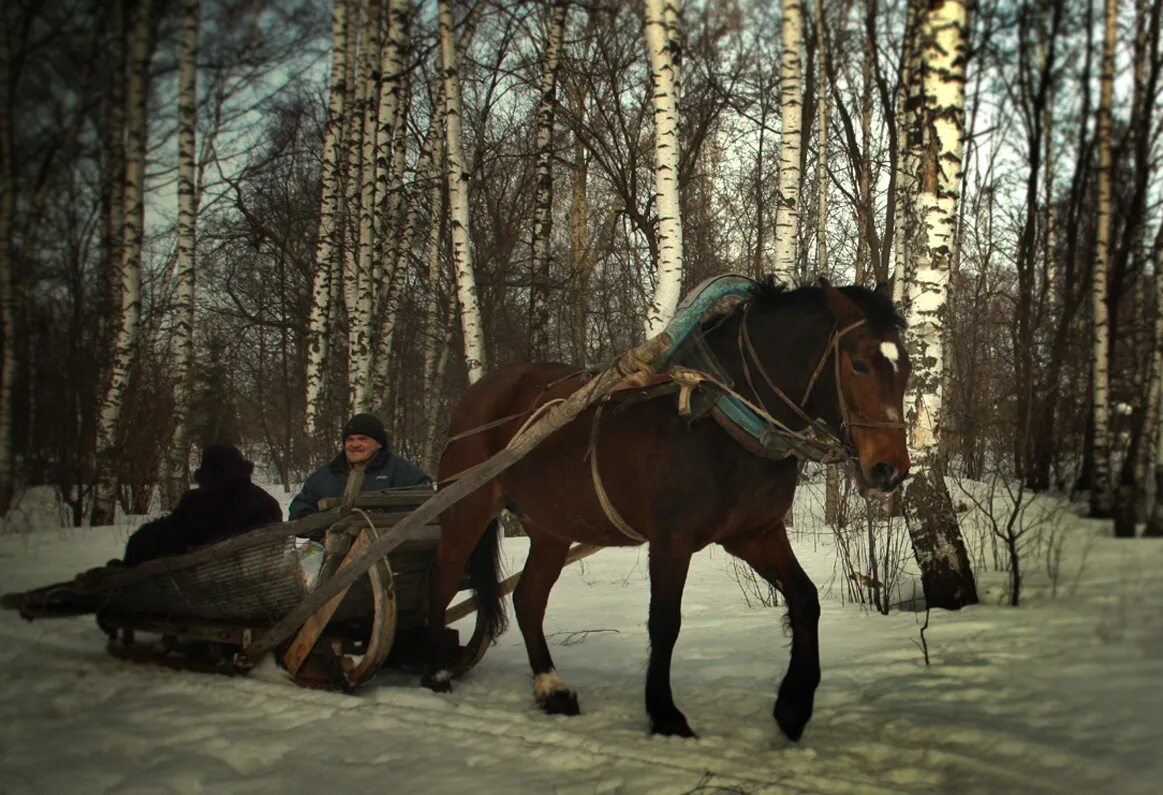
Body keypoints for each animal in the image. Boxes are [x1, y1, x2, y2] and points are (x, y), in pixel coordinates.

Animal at [423, 277, 911, 739]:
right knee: (443, 581)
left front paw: (793, 706)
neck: (723, 416)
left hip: (552, 528)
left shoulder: (755, 534)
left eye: (905, 366)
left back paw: (551, 688)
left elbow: (805, 598)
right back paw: (437, 671)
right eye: (859, 364)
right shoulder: (671, 540)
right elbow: (664, 622)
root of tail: (481, 391)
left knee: (528, 598)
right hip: (466, 508)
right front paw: (664, 714)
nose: (889, 470)